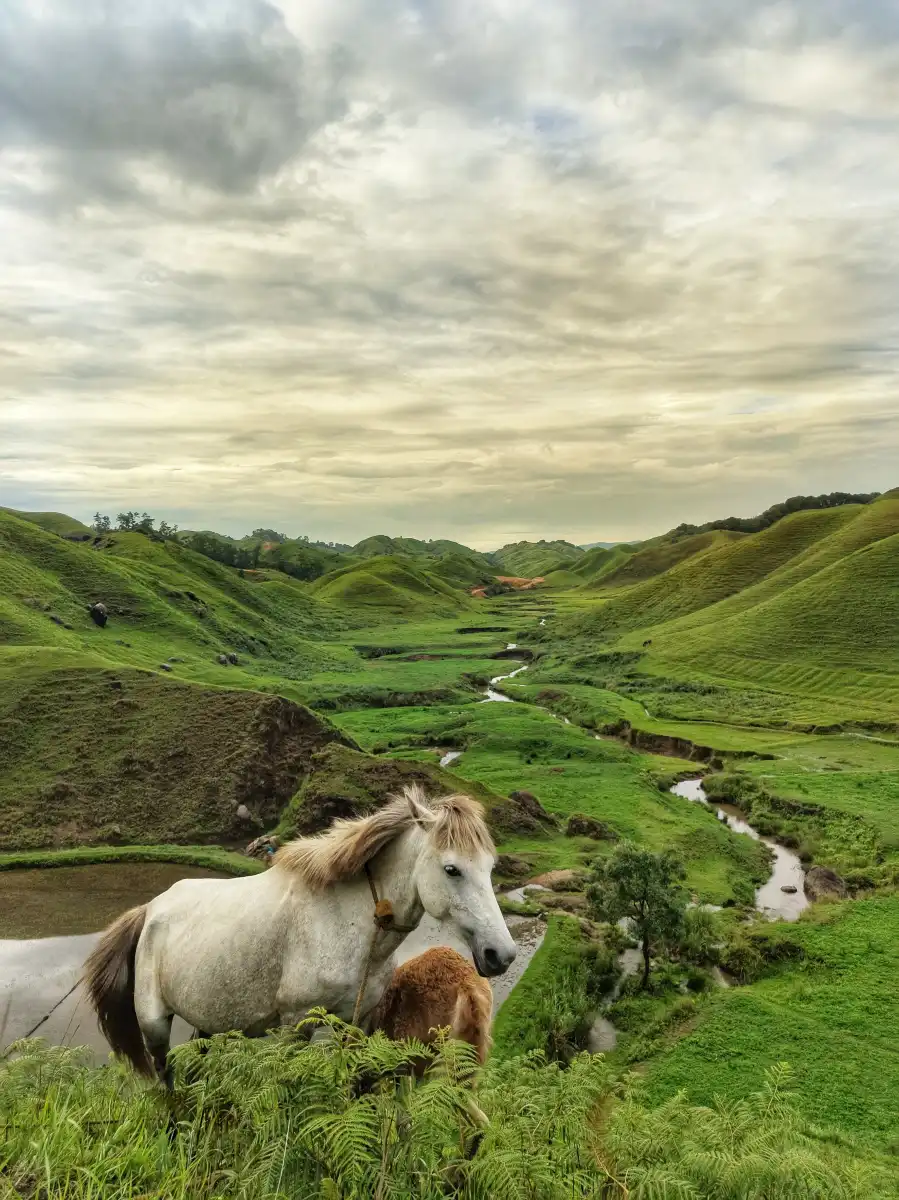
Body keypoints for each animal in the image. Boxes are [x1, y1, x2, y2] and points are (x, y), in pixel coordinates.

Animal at [84, 785, 516, 1084]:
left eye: (491, 867)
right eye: (451, 869)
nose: (502, 954)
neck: (345, 921)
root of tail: (149, 910)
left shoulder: (355, 1022)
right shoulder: (298, 1026)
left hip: (208, 1015)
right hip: (155, 1024)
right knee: (167, 1077)